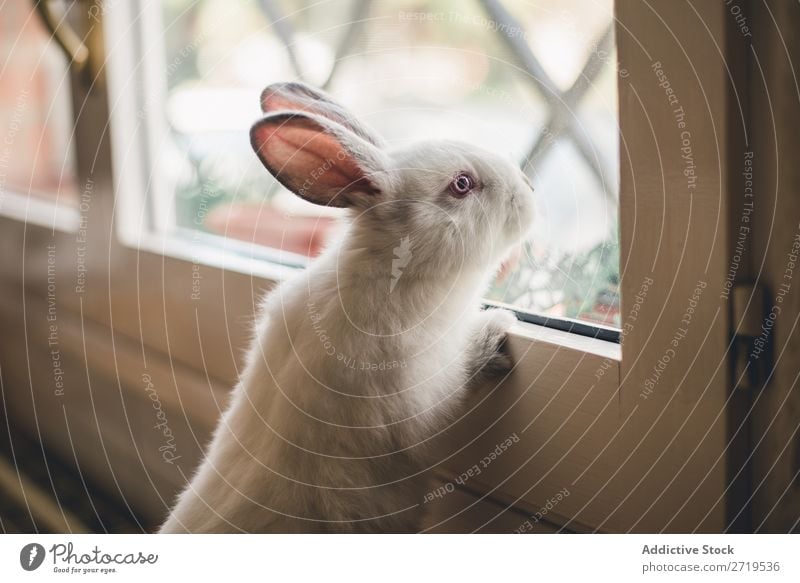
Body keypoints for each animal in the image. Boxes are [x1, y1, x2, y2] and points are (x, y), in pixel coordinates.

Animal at [159, 82, 536, 532]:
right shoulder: (422, 391)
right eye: (462, 184)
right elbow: (461, 376)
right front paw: (496, 328)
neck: (392, 275)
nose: (529, 190)